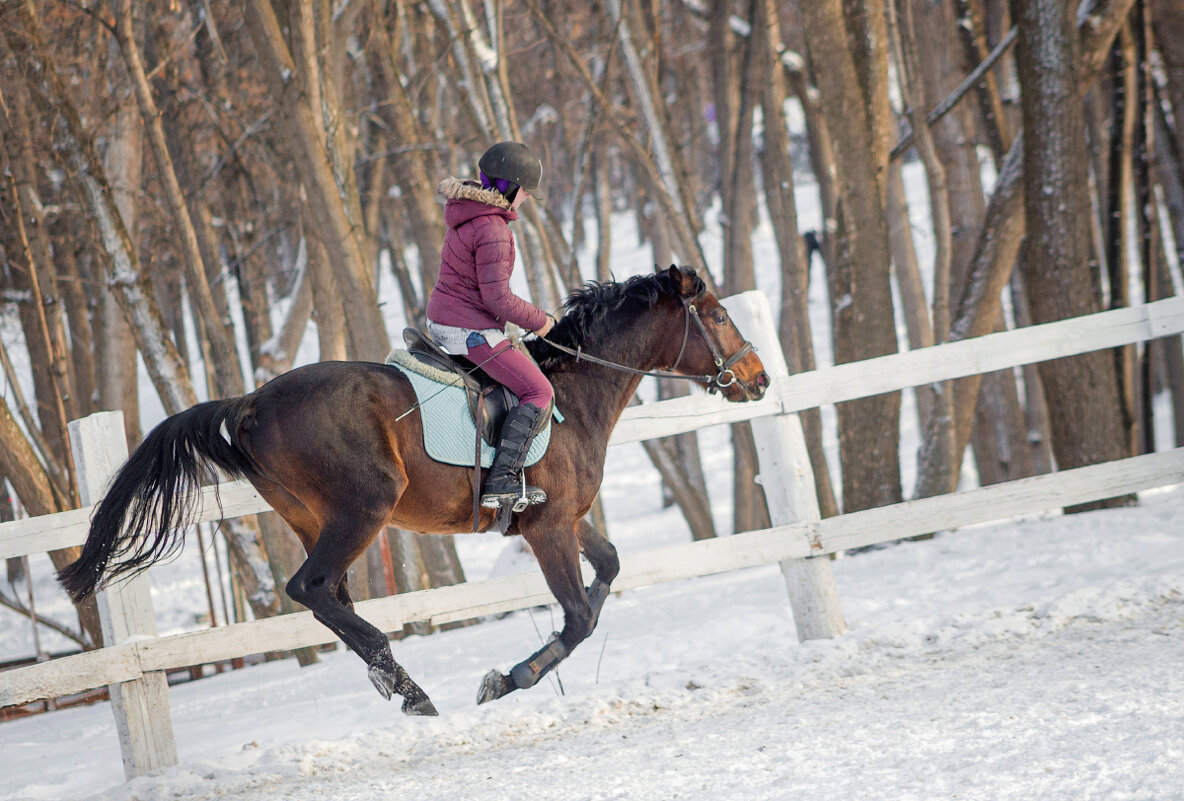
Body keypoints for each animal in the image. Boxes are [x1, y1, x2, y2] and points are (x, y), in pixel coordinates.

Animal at [60, 265, 771, 714]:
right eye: (717, 315)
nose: (760, 379)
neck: (573, 391)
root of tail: (250, 403)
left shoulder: (565, 520)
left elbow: (608, 573)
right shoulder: (546, 528)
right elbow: (576, 618)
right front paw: (509, 679)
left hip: (311, 516)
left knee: (329, 597)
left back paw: (395, 680)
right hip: (364, 507)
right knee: (310, 588)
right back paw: (407, 684)